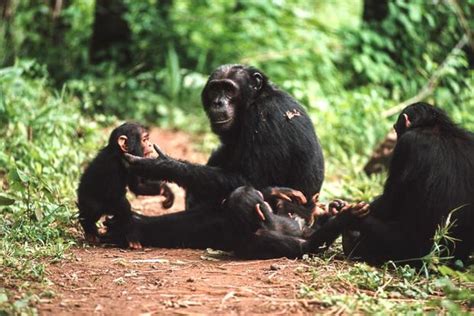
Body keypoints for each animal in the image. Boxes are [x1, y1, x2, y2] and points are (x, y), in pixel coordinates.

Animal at [322, 102, 474, 266]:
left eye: (396, 128)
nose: (395, 135)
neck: (434, 126)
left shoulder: (406, 144)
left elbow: (389, 201)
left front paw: (345, 208)